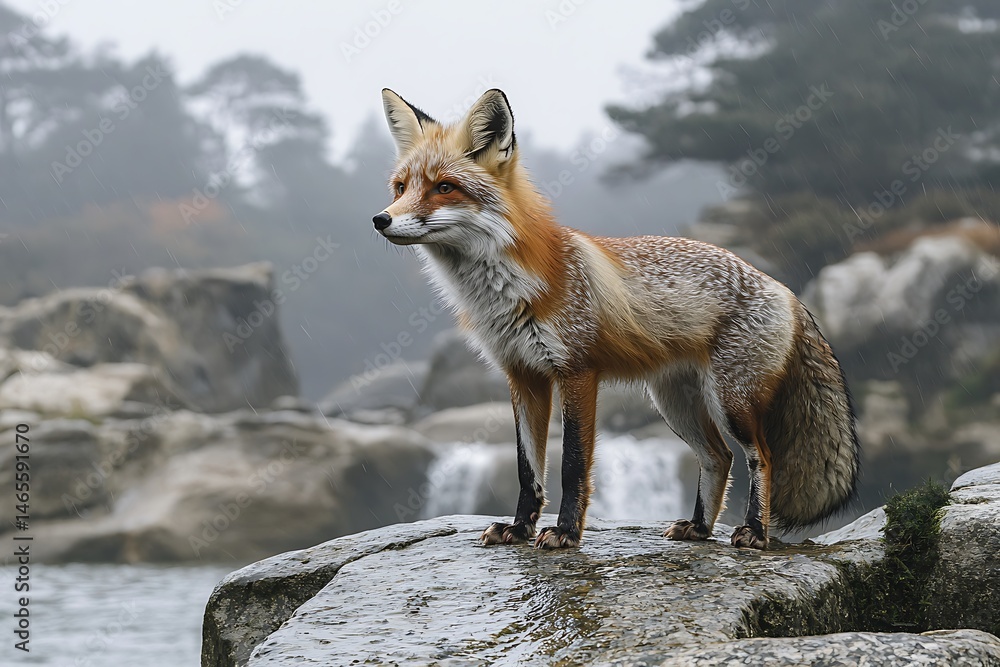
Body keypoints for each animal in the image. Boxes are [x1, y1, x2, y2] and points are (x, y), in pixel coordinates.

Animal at [373, 87, 860, 550]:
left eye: (444, 188)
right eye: (400, 188)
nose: (381, 220)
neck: (507, 292)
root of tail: (784, 288)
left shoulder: (576, 372)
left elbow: (571, 465)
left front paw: (565, 533)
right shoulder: (523, 376)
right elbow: (527, 469)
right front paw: (519, 529)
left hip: (730, 402)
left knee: (761, 455)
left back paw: (755, 532)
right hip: (675, 404)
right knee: (718, 457)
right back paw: (700, 528)